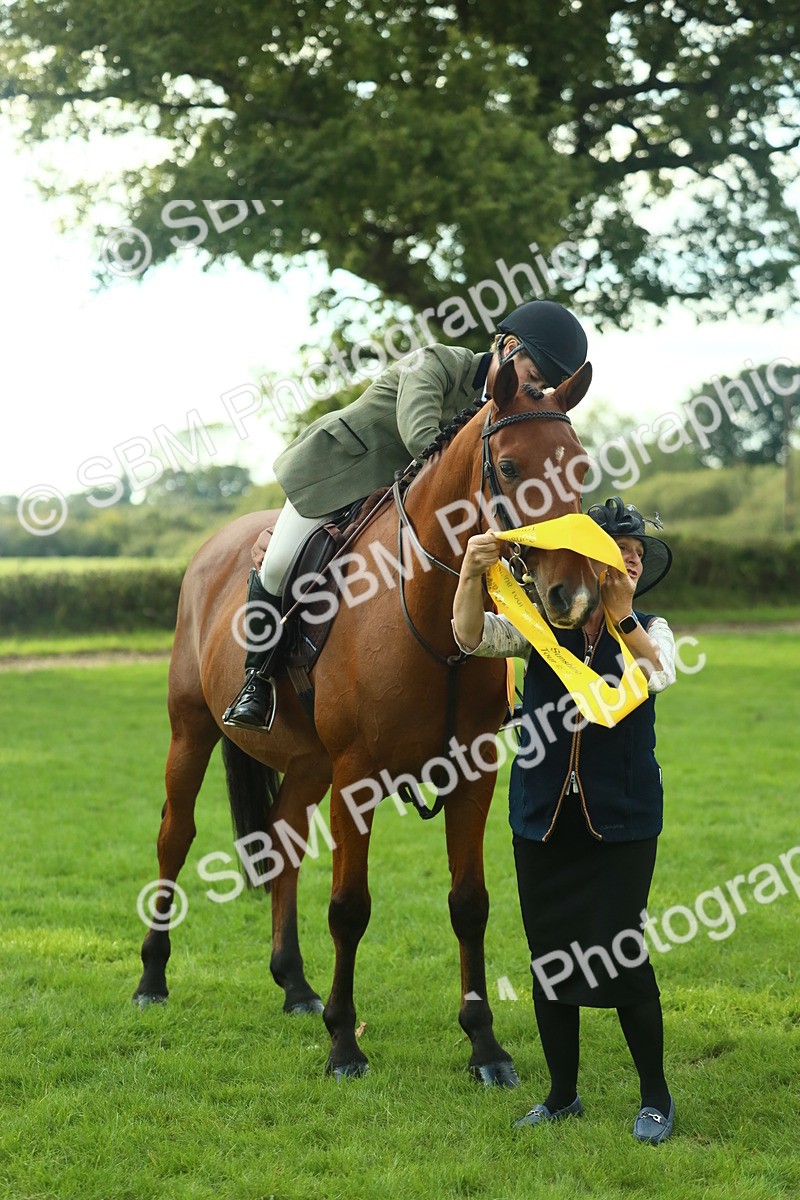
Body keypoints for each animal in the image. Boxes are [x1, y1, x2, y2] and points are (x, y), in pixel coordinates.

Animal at [133, 356, 599, 1084]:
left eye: (578, 467)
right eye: (511, 466)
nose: (570, 597)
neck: (434, 602)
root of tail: (216, 545)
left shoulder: (472, 775)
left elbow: (470, 904)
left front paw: (485, 1046)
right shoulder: (357, 775)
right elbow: (350, 909)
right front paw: (344, 1046)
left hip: (305, 764)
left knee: (283, 846)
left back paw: (295, 985)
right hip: (193, 730)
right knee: (174, 837)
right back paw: (153, 979)